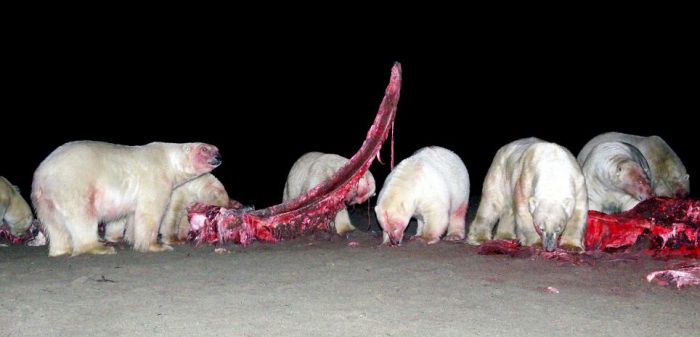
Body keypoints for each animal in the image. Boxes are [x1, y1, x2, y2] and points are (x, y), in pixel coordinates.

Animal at [30, 140, 219, 256]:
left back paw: (62, 249)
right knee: (82, 216)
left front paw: (132, 238)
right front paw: (156, 245)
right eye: (204, 149)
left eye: (217, 149)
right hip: (73, 184)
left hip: (45, 198)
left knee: (54, 224)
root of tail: (42, 174)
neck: (169, 160)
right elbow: (150, 212)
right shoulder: (156, 177)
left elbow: (135, 215)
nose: (218, 157)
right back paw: (97, 247)